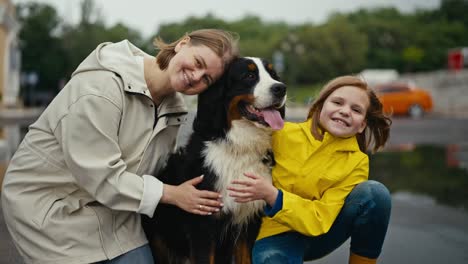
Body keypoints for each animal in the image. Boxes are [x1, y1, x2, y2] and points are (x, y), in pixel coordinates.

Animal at [143, 57, 288, 264]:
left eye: (274, 74)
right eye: (249, 75)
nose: (281, 88)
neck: (238, 147)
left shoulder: (247, 223)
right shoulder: (203, 225)